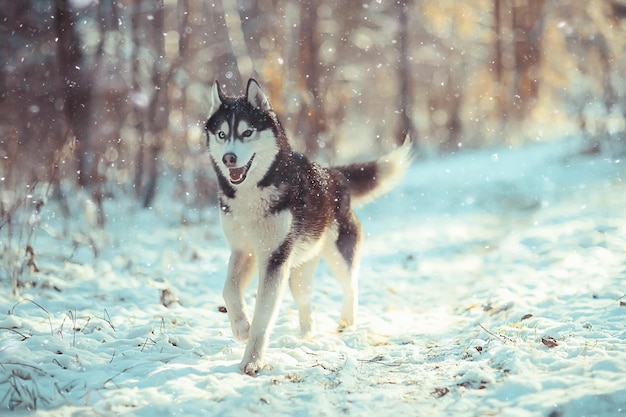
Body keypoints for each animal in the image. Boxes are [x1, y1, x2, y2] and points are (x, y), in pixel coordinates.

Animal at [204, 79, 410, 374]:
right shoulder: (246, 251)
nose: (229, 159)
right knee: (305, 300)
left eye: (247, 132)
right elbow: (229, 290)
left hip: (338, 255)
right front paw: (241, 327)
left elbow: (263, 316)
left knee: (351, 286)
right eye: (221, 134)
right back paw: (306, 334)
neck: (253, 192)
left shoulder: (274, 257)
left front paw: (252, 360)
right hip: (297, 271)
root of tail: (335, 174)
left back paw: (347, 323)